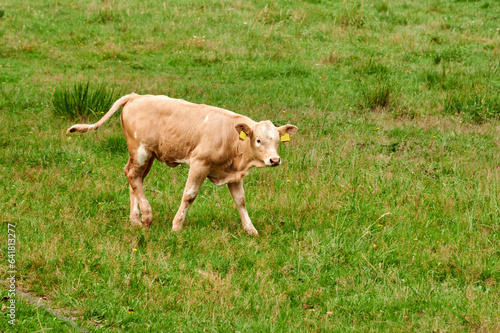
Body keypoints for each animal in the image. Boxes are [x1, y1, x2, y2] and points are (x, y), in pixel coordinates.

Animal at [68, 92, 298, 235]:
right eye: (258, 140)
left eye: (278, 141)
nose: (274, 160)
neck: (232, 139)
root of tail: (136, 96)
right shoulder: (199, 163)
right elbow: (189, 195)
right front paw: (176, 225)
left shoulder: (233, 173)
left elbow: (240, 201)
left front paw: (250, 230)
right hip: (141, 151)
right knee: (133, 176)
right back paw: (147, 216)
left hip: (146, 155)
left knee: (134, 178)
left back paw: (135, 219)